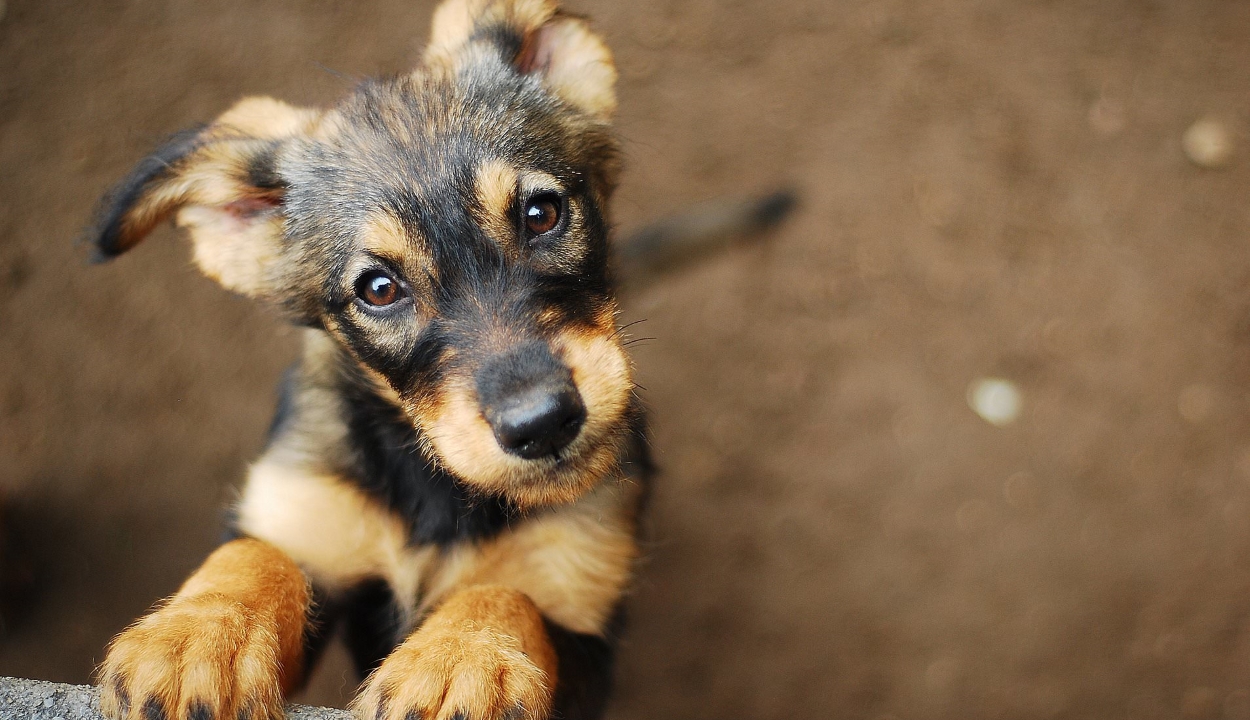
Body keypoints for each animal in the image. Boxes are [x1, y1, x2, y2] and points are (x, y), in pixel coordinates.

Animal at [85, 1, 790, 720]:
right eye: (378, 289)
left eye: (542, 213)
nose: (542, 424)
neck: (440, 492)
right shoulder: (305, 513)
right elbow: (254, 554)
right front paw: (196, 636)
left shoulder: (582, 619)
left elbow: (504, 594)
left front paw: (459, 661)